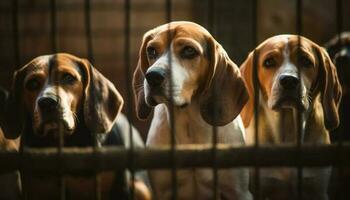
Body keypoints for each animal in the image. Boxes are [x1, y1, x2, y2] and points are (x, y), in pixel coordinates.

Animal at [0, 53, 150, 200]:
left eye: (68, 77)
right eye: (32, 83)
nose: (47, 102)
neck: (66, 143)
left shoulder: (120, 189)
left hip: (140, 189)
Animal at [132, 21, 252, 199]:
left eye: (189, 50)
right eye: (151, 50)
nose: (153, 76)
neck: (189, 123)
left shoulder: (238, 192)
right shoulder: (162, 191)